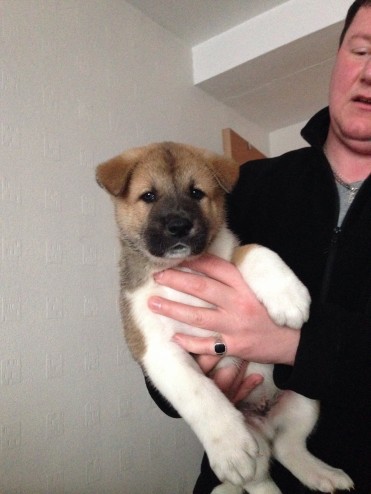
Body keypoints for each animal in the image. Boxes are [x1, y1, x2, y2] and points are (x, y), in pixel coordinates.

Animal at [96, 143, 354, 494]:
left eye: (196, 193)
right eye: (148, 196)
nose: (179, 226)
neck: (186, 267)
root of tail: (263, 419)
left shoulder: (229, 255)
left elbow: (253, 249)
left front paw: (287, 295)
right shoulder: (157, 348)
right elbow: (197, 392)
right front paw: (229, 446)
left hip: (305, 394)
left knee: (288, 446)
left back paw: (324, 474)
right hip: (260, 444)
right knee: (261, 475)